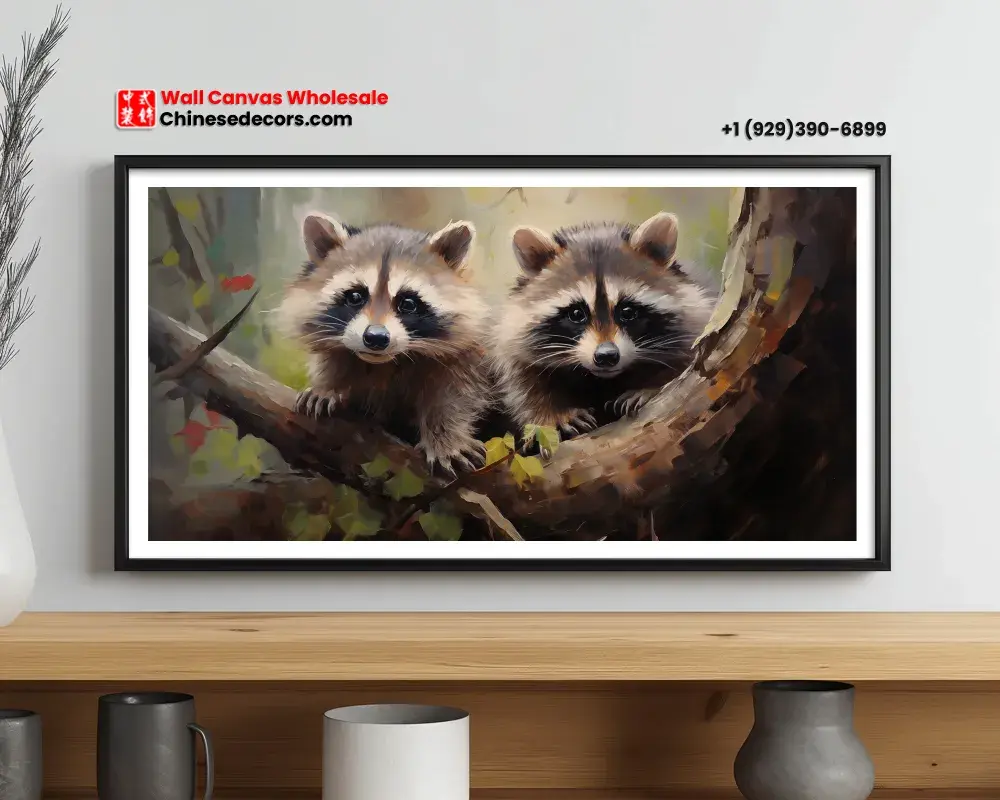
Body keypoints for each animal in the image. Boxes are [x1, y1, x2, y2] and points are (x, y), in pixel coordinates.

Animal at [276, 212, 490, 475]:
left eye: (408, 303)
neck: (386, 362)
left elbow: (454, 395)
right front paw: (329, 387)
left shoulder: (467, 355)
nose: (376, 337)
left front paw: (446, 438)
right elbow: (334, 362)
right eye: (355, 296)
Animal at [491, 211, 717, 443]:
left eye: (627, 312)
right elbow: (527, 384)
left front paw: (650, 387)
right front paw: (553, 414)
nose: (606, 356)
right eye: (576, 314)